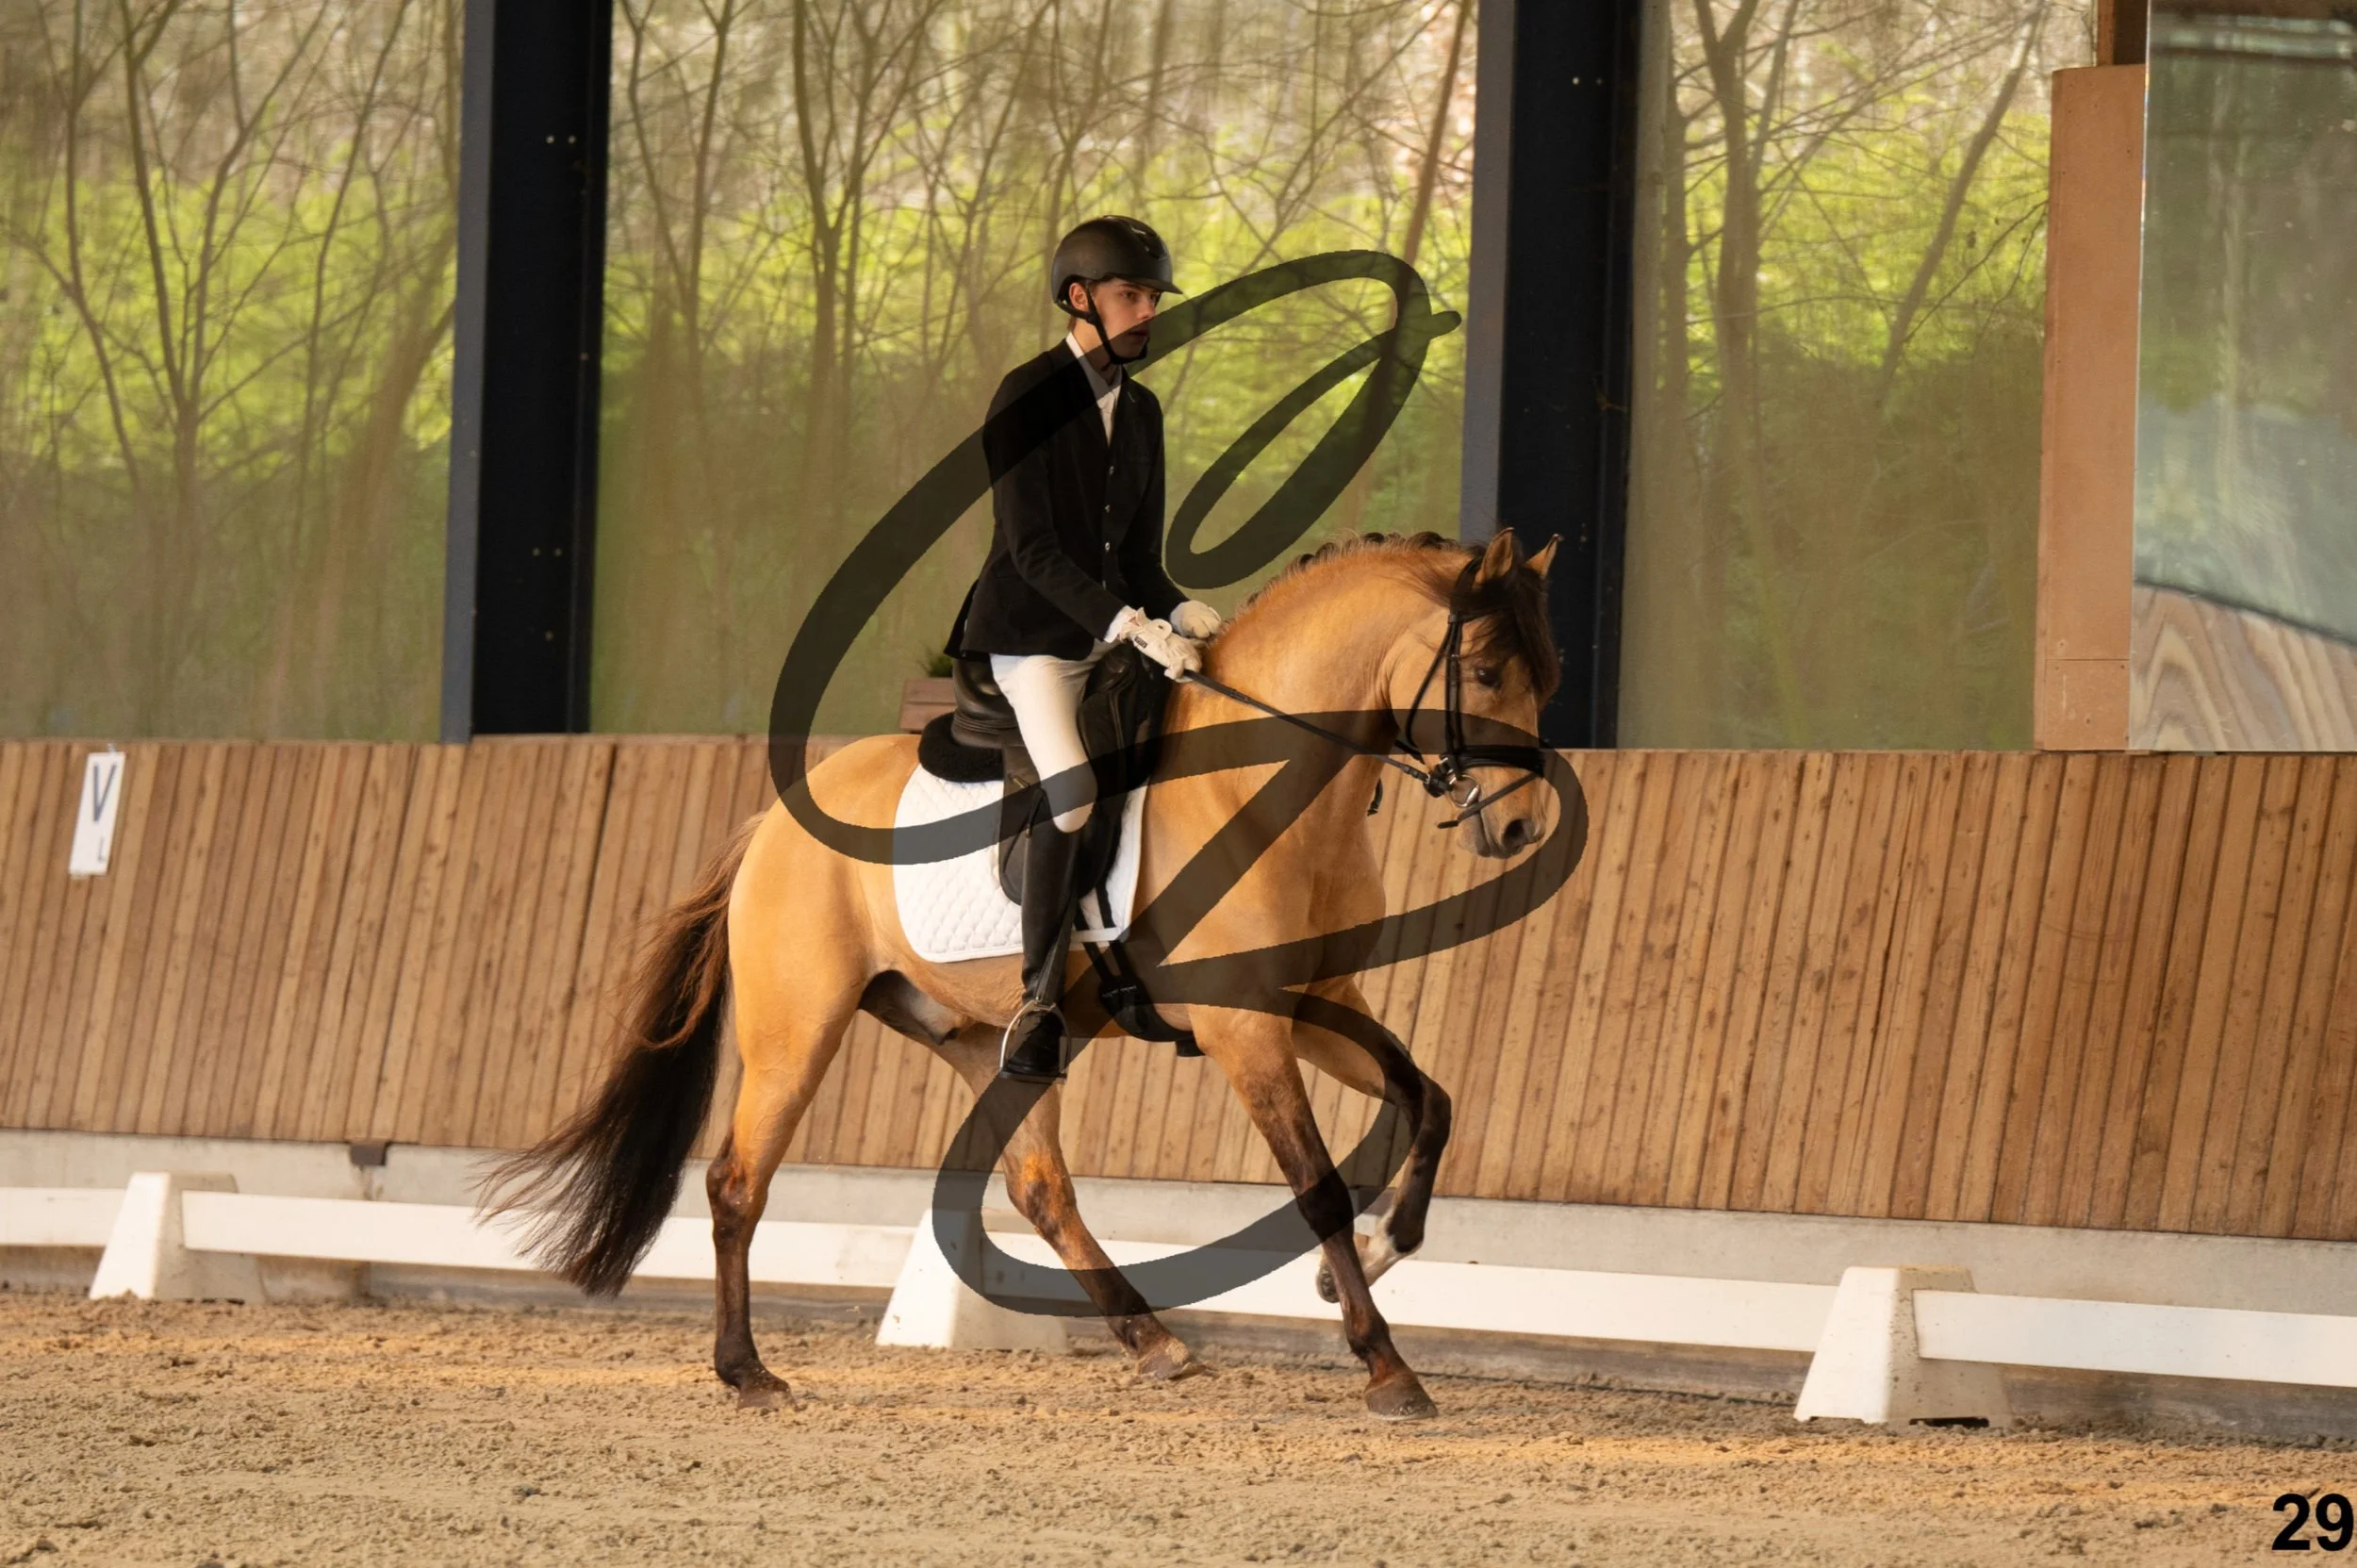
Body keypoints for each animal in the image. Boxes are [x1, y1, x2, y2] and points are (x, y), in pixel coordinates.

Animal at [485, 527, 1563, 1421]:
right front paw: (1385, 1362)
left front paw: (1367, 1261)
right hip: (798, 1031)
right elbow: (1319, 1186)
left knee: (1040, 1184)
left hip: (984, 1039)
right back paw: (746, 1370)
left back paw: (1154, 1340)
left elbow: (1430, 1102)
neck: (1265, 786)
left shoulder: (1317, 1004)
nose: (1519, 828)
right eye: (1482, 669)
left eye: (1542, 677)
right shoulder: (1245, 1026)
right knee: (737, 1182)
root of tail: (773, 822)